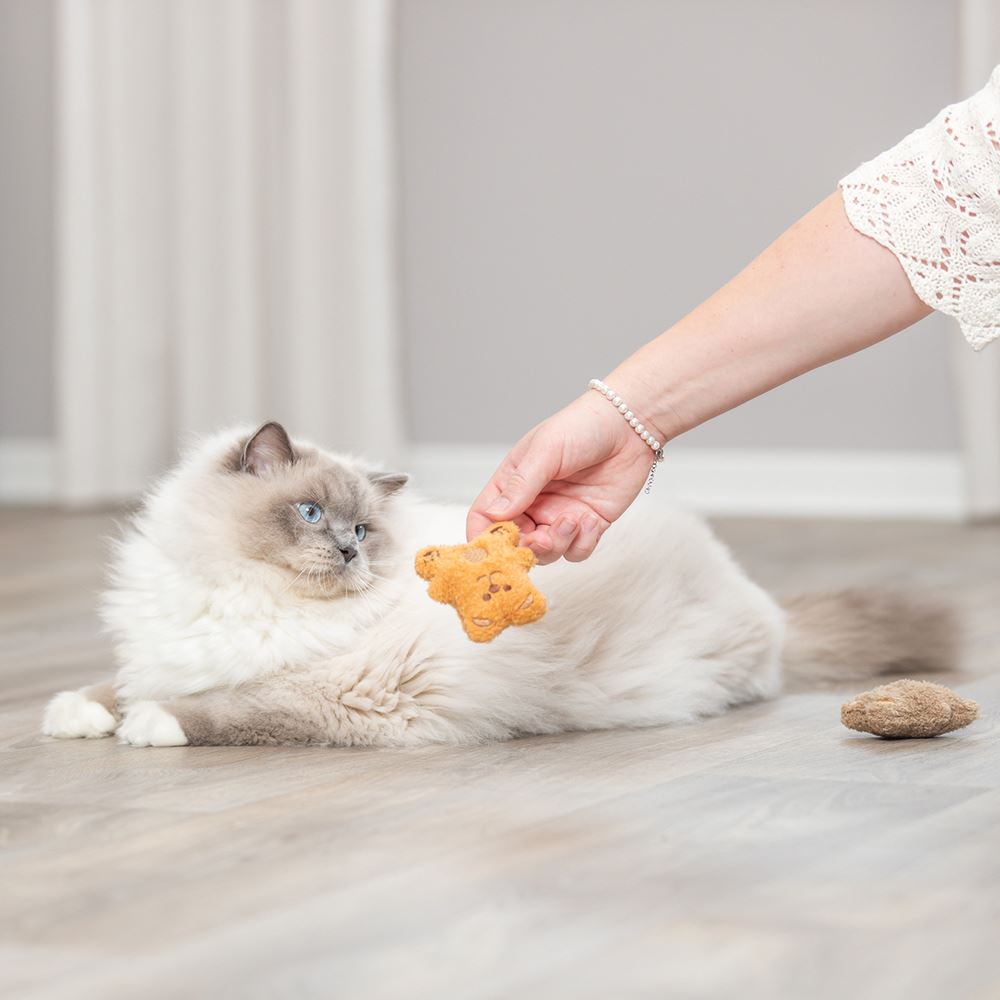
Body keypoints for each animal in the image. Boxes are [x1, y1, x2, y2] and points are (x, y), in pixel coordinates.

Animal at [43, 418, 956, 748]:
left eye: (362, 531)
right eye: (309, 514)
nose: (346, 555)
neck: (243, 591)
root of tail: (756, 594)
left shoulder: (348, 696)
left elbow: (230, 707)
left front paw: (151, 726)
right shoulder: (170, 648)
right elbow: (119, 681)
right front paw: (77, 715)